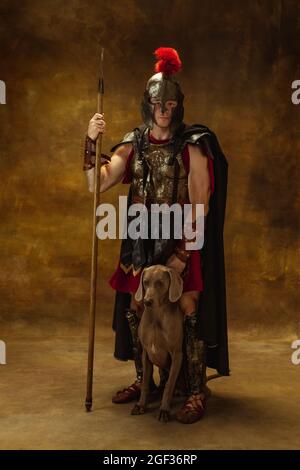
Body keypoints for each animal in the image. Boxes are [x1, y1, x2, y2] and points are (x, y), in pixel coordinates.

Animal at [132, 264, 184, 422]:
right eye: (145, 282)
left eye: (160, 283)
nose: (147, 301)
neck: (157, 317)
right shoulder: (145, 353)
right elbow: (144, 383)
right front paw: (141, 405)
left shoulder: (177, 354)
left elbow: (169, 385)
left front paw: (164, 409)